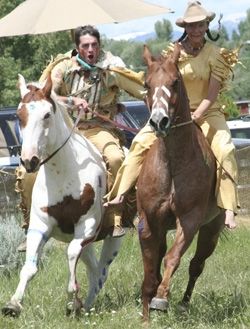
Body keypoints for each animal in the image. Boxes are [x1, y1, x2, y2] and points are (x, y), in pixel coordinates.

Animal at [1, 75, 123, 318]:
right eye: (19, 116)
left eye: (47, 115)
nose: (29, 160)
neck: (65, 173)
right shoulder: (40, 225)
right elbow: (29, 268)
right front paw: (13, 304)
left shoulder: (87, 226)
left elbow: (71, 254)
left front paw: (72, 298)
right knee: (93, 269)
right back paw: (87, 305)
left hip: (112, 238)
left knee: (101, 271)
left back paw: (85, 304)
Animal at [137, 44, 225, 320]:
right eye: (147, 83)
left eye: (175, 81)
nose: (159, 121)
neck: (172, 165)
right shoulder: (148, 223)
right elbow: (149, 272)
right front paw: (146, 316)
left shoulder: (190, 220)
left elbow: (172, 259)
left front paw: (162, 299)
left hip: (211, 230)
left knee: (196, 265)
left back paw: (184, 304)